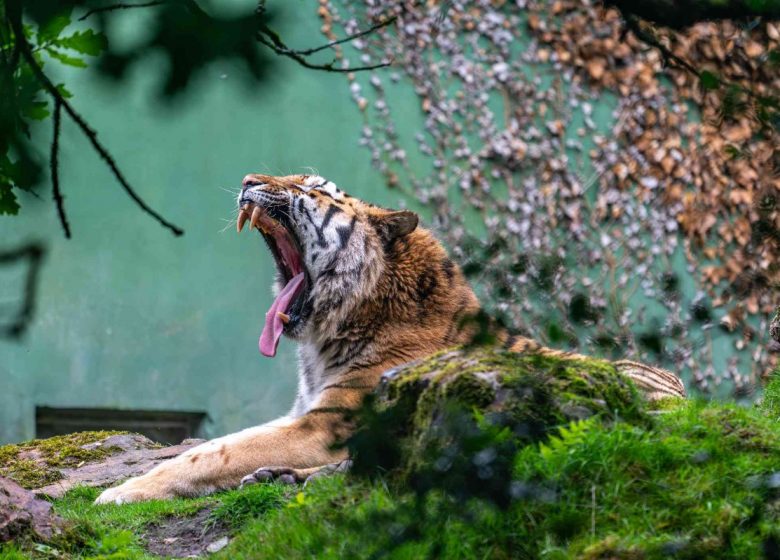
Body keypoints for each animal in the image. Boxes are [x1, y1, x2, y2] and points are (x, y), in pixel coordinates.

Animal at [95, 173, 685, 504]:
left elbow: (210, 454)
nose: (245, 178)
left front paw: (119, 493)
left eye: (309, 188)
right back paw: (278, 478)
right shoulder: (302, 413)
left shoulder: (323, 424)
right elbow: (220, 445)